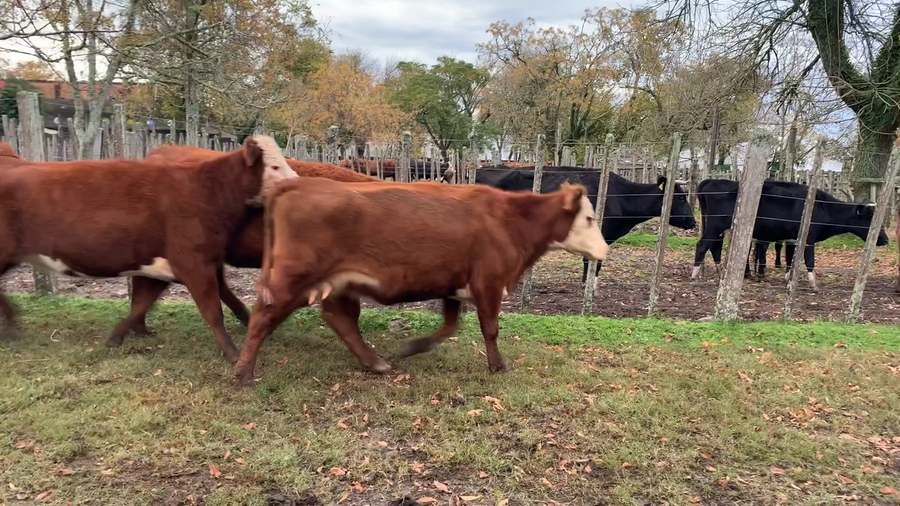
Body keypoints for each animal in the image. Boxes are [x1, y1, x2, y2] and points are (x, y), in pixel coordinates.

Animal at [0, 136, 299, 363]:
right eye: (274, 166)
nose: (297, 182)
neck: (207, 191)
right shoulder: (192, 263)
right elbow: (212, 312)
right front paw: (233, 353)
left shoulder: (169, 265)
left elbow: (142, 303)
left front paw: (117, 336)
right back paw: (12, 325)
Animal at [233, 179, 610, 386]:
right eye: (590, 218)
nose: (605, 250)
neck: (509, 220)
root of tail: (296, 184)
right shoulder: (488, 282)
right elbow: (490, 329)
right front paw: (497, 365)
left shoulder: (455, 284)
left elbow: (450, 325)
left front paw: (415, 346)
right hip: (292, 277)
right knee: (263, 317)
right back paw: (243, 373)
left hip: (338, 283)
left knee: (340, 320)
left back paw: (375, 363)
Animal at [693, 179, 889, 290]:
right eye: (870, 220)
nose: (885, 239)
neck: (823, 206)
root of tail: (711, 182)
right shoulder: (808, 239)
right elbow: (809, 260)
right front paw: (814, 284)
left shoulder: (793, 240)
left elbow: (791, 260)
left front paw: (788, 278)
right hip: (715, 224)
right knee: (703, 245)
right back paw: (695, 275)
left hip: (718, 228)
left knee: (714, 247)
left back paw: (720, 274)